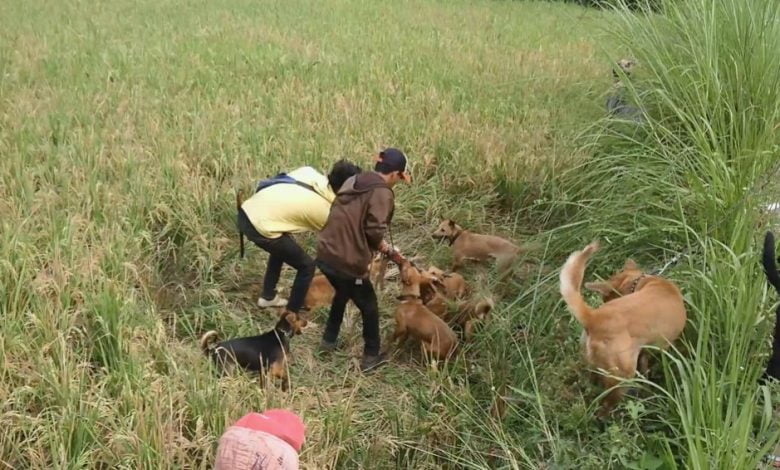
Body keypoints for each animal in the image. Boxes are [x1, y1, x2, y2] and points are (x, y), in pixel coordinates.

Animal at [556, 242, 684, 414]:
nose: (604, 300)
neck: (638, 282)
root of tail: (593, 317)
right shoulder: (661, 346)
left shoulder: (644, 350)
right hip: (623, 375)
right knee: (606, 405)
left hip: (595, 364)